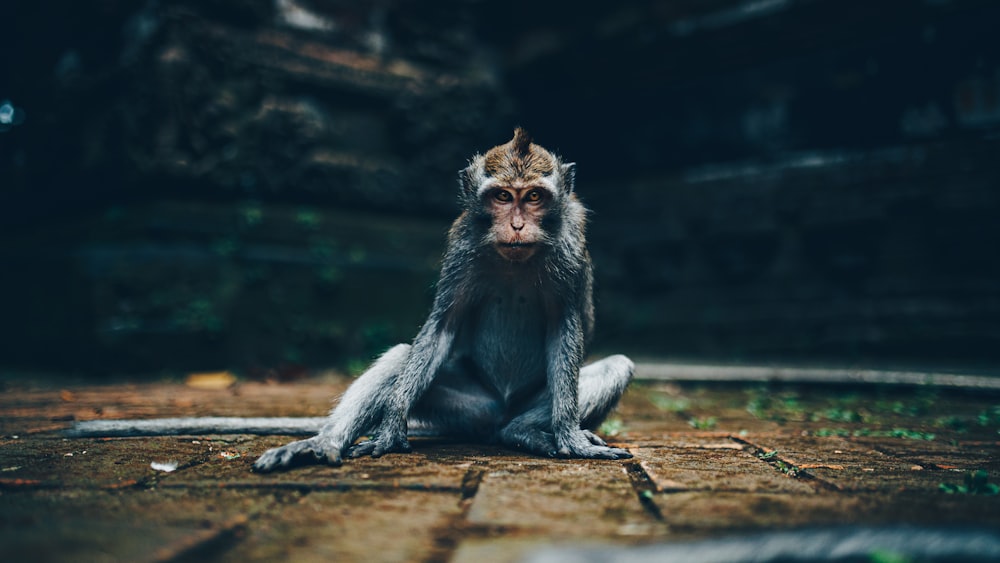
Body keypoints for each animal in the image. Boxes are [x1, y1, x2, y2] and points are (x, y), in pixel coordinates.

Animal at [66, 130, 636, 470]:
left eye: (534, 197)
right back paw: (326, 442)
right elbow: (441, 328)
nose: (516, 225)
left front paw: (566, 434)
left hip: (510, 409)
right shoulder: (462, 243)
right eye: (501, 197)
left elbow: (565, 327)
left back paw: (527, 434)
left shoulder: (571, 246)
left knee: (613, 367)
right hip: (468, 410)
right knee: (402, 356)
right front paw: (391, 424)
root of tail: (494, 418)